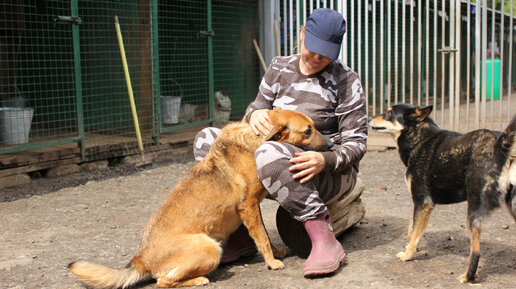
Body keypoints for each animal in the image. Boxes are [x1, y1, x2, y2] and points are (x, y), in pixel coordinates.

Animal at [68, 109, 332, 286]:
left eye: (314, 125)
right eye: (308, 130)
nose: (331, 144)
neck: (255, 139)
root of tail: (140, 258)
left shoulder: (252, 209)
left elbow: (263, 234)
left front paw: (275, 252)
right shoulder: (248, 206)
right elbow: (262, 238)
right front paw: (272, 261)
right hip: (209, 248)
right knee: (163, 282)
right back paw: (199, 280)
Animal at [368, 103, 516, 282]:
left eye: (389, 113)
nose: (368, 118)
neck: (420, 140)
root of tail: (501, 147)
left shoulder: (422, 201)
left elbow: (415, 231)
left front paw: (408, 254)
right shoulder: (424, 205)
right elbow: (412, 227)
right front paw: (411, 245)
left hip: (474, 210)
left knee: (476, 251)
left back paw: (468, 276)